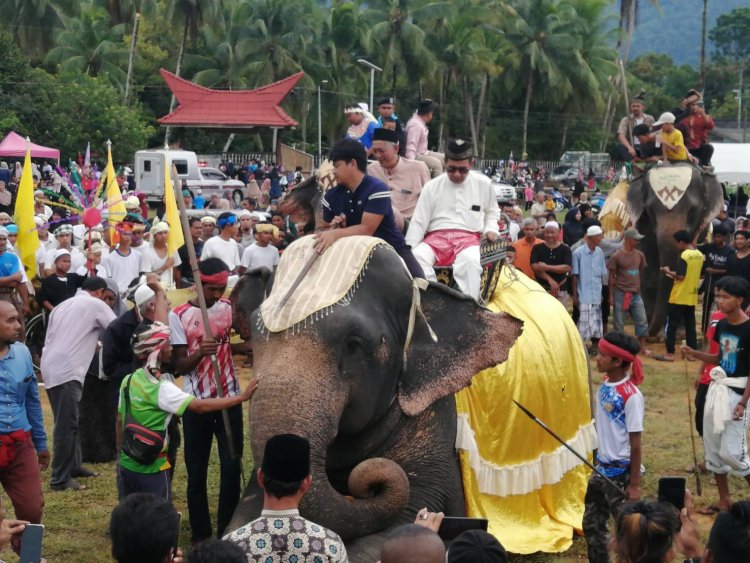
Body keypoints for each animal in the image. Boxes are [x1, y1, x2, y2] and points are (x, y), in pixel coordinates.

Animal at [628, 165, 728, 338]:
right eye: (650, 210)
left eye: (693, 211)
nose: (648, 333)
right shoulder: (643, 226)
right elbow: (649, 269)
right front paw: (655, 335)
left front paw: (678, 334)